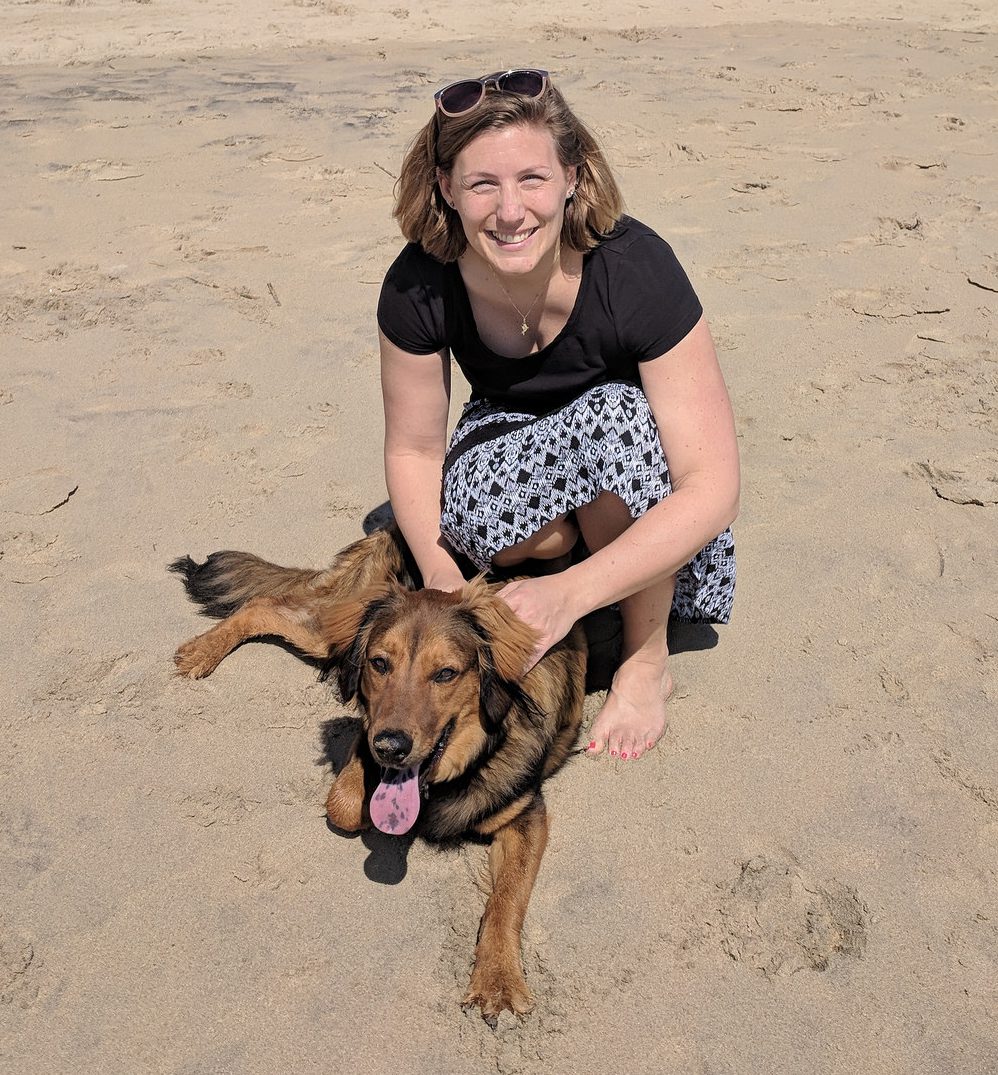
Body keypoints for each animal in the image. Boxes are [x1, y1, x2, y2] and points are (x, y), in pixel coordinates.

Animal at [169, 525, 586, 1023]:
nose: (390, 747)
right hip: (332, 627)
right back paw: (203, 650)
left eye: (446, 674)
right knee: (265, 605)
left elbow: (506, 899)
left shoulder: (526, 815)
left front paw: (498, 980)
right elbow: (344, 804)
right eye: (379, 663)